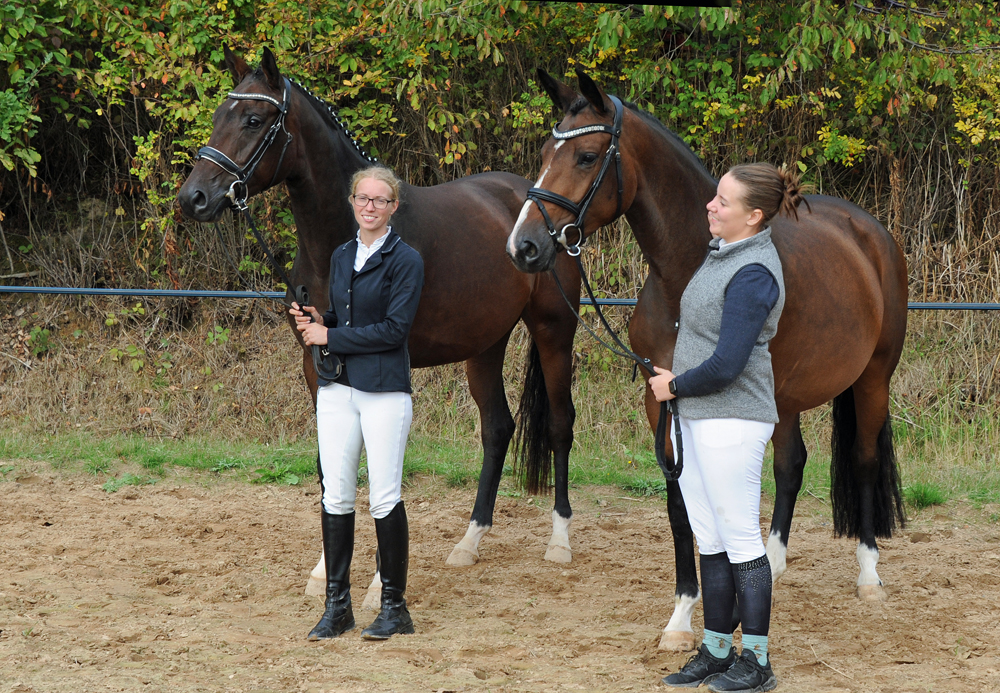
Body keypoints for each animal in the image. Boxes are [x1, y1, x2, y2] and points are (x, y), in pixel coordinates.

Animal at [178, 48, 584, 600]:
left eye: (254, 120)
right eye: (220, 115)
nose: (193, 197)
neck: (342, 244)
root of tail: (537, 204)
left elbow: (382, 466)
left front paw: (375, 581)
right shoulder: (317, 365)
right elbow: (333, 463)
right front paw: (325, 570)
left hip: (553, 332)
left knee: (560, 425)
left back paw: (559, 542)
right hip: (485, 344)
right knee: (498, 428)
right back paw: (469, 543)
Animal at [512, 73, 912, 652]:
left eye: (586, 156)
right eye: (546, 153)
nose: (523, 246)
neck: (688, 277)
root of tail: (870, 233)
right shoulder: (661, 401)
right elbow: (682, 509)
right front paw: (682, 616)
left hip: (873, 378)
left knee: (861, 460)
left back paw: (868, 576)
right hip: (785, 396)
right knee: (792, 464)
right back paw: (775, 564)